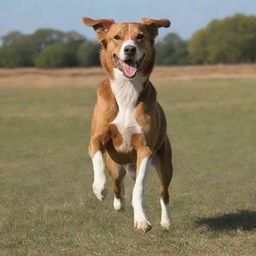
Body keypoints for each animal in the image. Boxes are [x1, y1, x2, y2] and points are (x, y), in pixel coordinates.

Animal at [83, 16, 173, 232]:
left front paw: (141, 220)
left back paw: (166, 221)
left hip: (165, 164)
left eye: (140, 36)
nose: (130, 49)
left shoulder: (145, 148)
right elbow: (97, 159)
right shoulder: (96, 138)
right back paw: (118, 201)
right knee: (117, 183)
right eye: (117, 37)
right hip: (115, 165)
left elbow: (138, 189)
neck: (127, 89)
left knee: (164, 193)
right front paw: (99, 188)